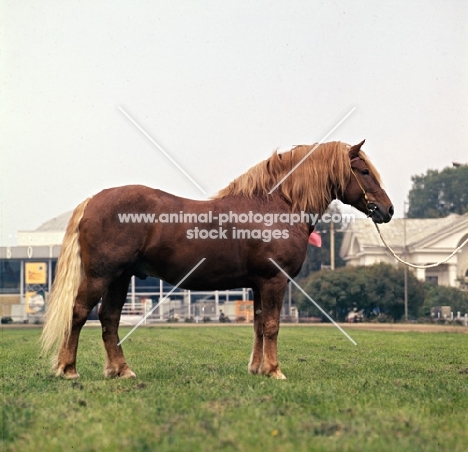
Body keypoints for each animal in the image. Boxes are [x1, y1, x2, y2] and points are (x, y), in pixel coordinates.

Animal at [40, 139, 394, 380]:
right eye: (364, 171)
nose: (387, 210)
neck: (276, 206)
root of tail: (93, 200)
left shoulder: (258, 284)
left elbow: (258, 325)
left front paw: (257, 368)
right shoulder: (274, 281)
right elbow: (272, 326)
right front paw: (274, 370)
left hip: (120, 278)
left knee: (109, 319)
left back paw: (121, 370)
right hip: (101, 275)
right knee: (80, 312)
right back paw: (68, 369)